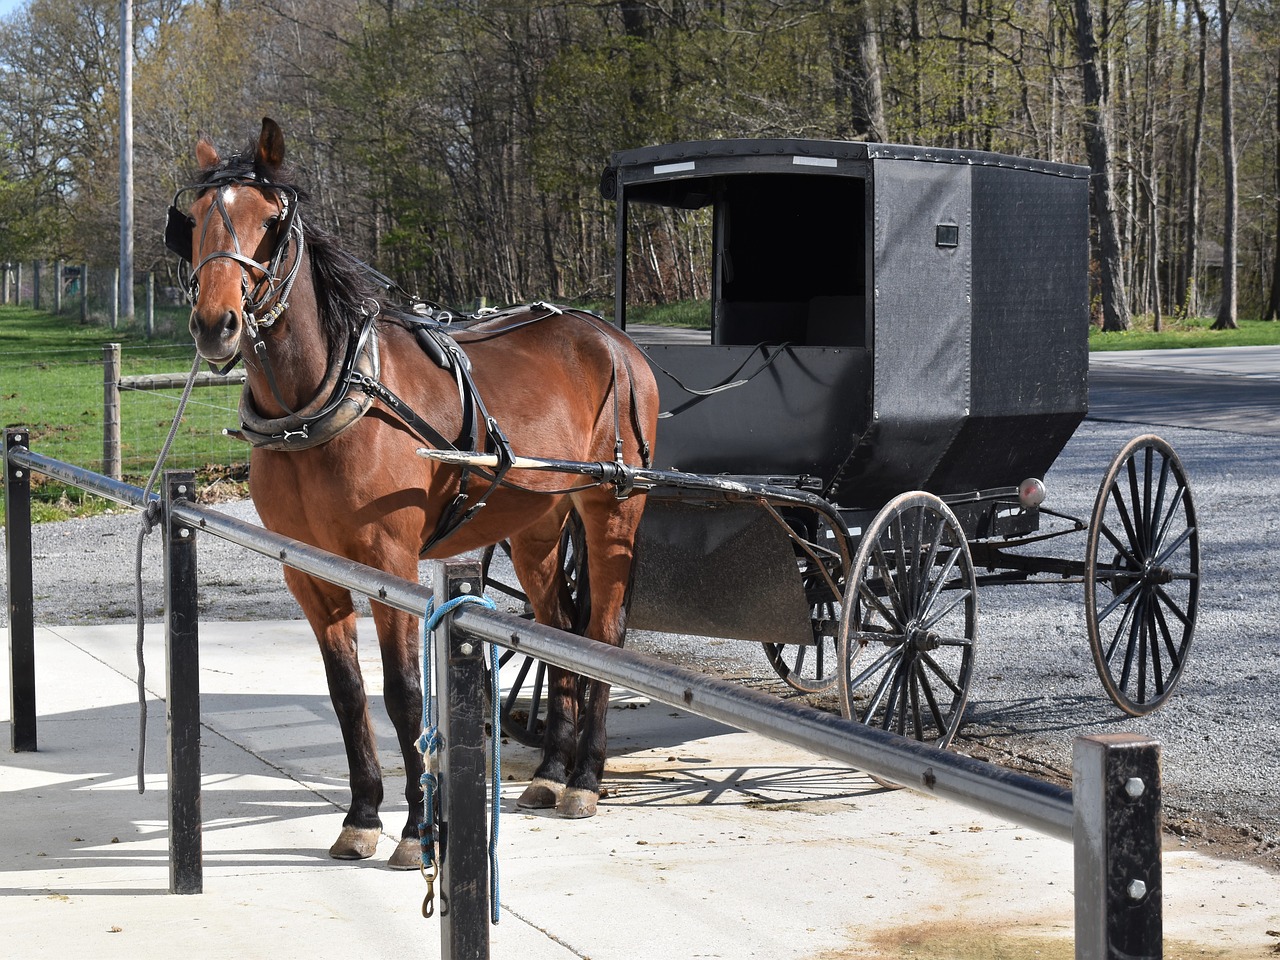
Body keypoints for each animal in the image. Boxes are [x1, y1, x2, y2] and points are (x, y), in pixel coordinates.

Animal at [172, 116, 660, 870]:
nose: (214, 324)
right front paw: (362, 814)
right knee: (556, 629)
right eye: (194, 219)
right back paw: (551, 771)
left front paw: (415, 826)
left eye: (273, 222)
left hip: (612, 509)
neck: (325, 395)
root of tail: (611, 337)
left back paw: (584, 778)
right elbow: (347, 694)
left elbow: (402, 695)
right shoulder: (308, 573)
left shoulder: (389, 564)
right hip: (538, 523)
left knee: (602, 634)